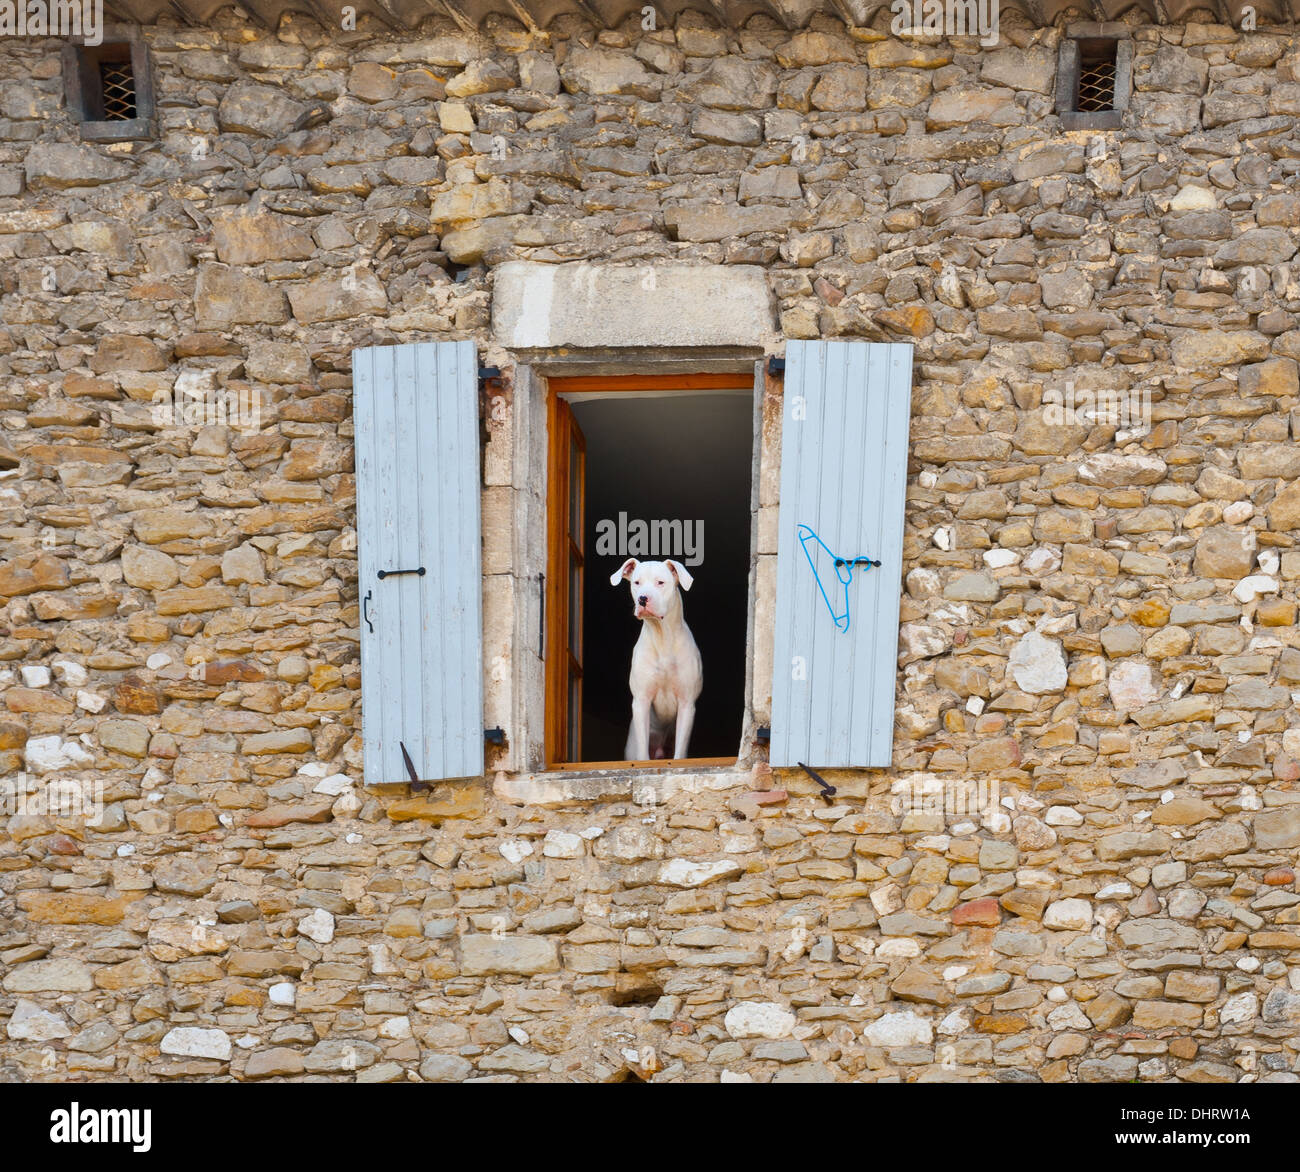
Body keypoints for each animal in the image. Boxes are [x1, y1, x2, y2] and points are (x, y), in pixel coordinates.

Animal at [608, 558, 702, 764]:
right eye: (637, 582)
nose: (642, 598)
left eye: (660, 582)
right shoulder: (641, 701)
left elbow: (680, 753)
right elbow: (643, 755)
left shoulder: (686, 703)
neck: (662, 636)